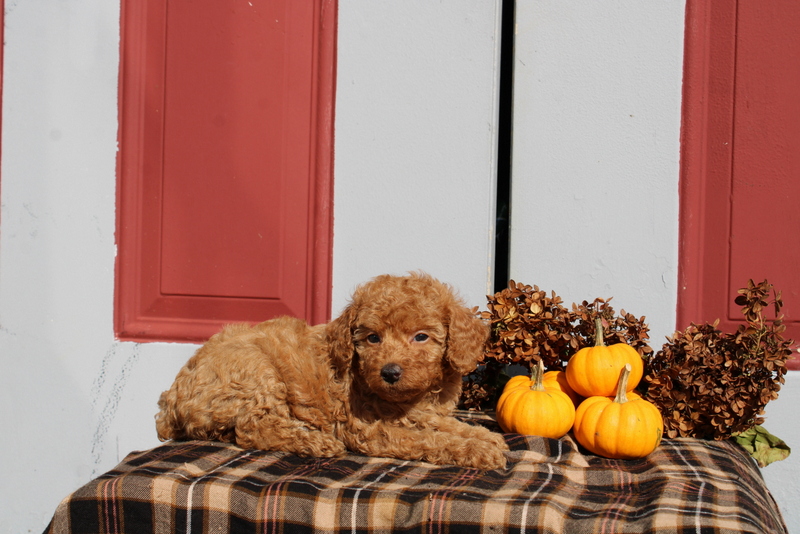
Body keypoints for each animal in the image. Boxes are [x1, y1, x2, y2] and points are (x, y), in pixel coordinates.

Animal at [155, 274, 506, 472]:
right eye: (372, 338)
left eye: (421, 337)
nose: (390, 372)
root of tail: (171, 400)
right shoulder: (368, 429)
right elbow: (429, 439)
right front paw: (478, 450)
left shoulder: (425, 413)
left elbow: (447, 425)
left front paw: (484, 437)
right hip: (256, 370)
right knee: (254, 429)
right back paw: (317, 441)